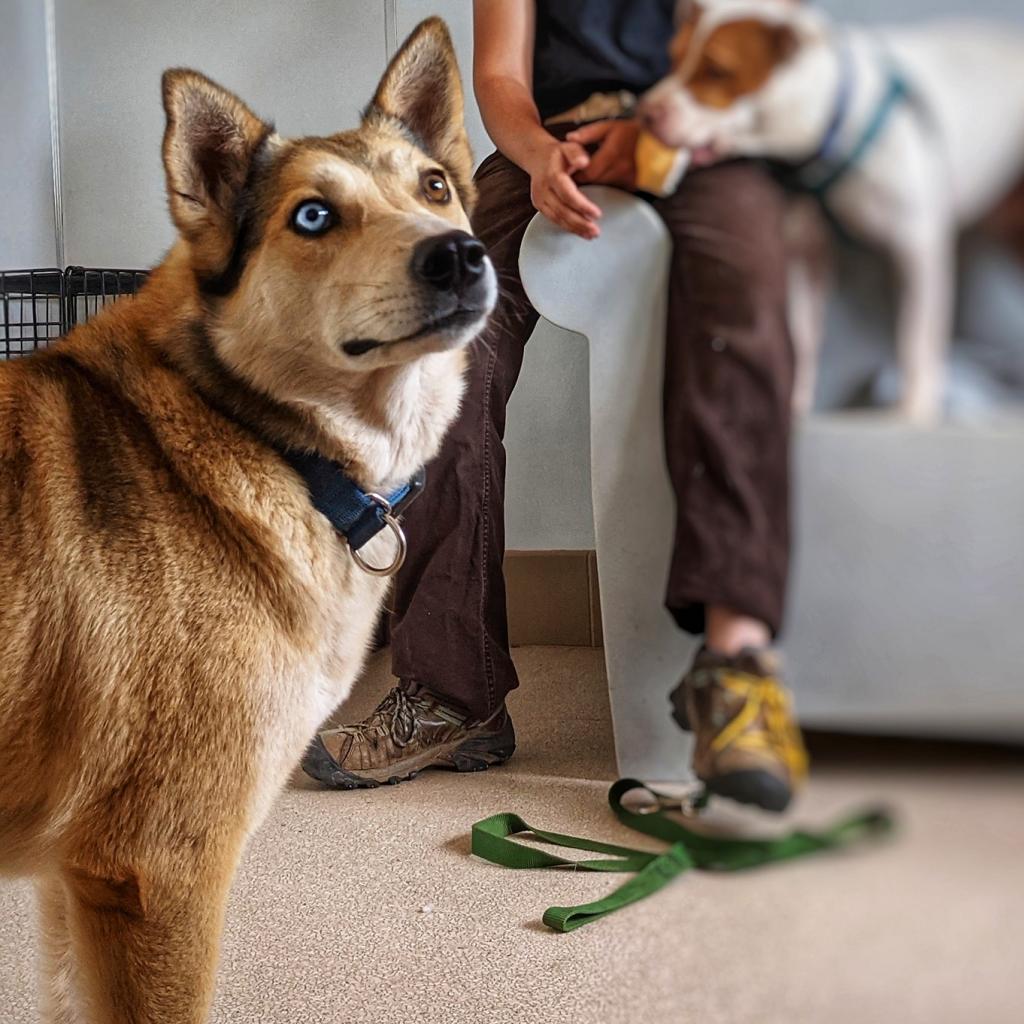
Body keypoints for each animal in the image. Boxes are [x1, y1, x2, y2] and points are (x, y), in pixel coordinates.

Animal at [0, 18, 495, 1024]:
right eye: (311, 218)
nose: (458, 255)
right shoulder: (155, 872)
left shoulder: (74, 884)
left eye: (434, 187)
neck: (254, 428)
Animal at [638, 0, 1024, 421]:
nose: (645, 110)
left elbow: (916, 336)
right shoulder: (807, 254)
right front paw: (797, 402)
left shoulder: (917, 251)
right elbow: (802, 333)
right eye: (674, 58)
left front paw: (915, 411)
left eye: (718, 71)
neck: (831, 125)